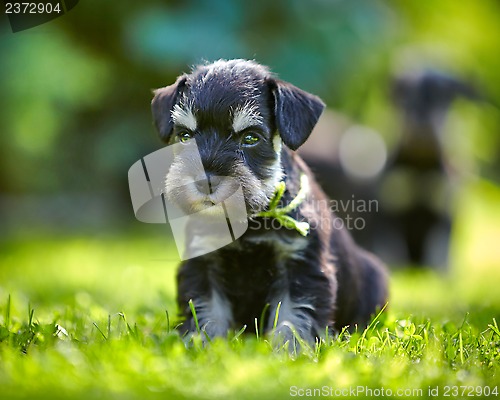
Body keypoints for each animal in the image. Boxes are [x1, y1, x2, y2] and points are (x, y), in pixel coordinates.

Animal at [150, 60, 388, 346]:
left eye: (251, 138)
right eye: (185, 136)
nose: (204, 182)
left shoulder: (301, 263)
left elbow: (293, 313)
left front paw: (291, 348)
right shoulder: (203, 262)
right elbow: (207, 308)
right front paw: (202, 345)